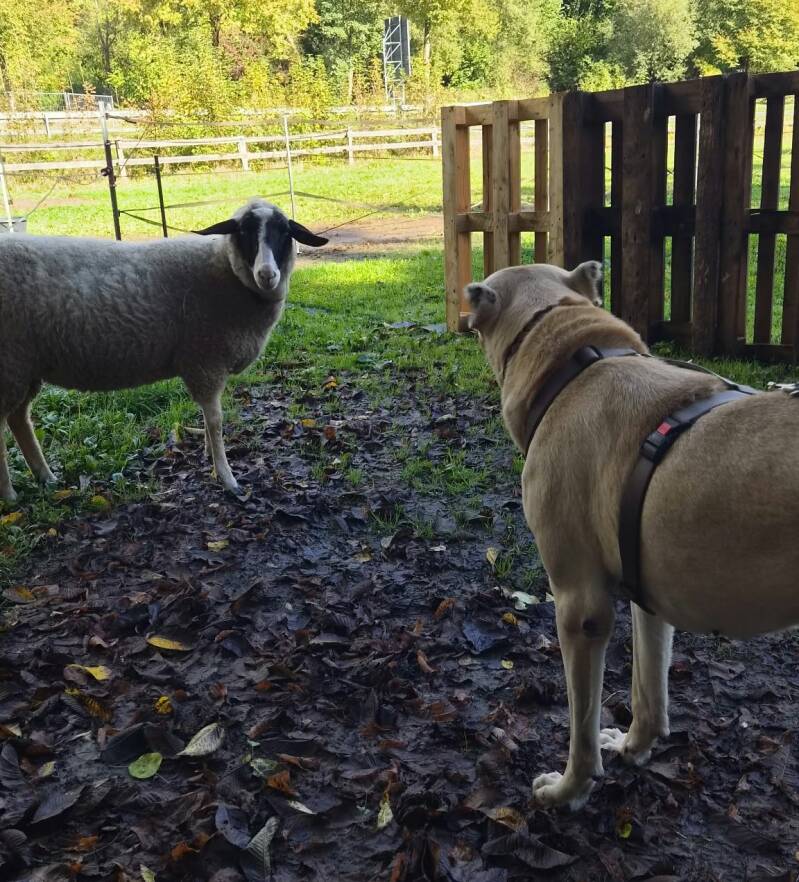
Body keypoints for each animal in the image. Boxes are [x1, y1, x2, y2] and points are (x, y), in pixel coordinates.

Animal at [0, 199, 328, 502]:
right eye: (244, 231)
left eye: (284, 232)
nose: (267, 274)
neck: (223, 270)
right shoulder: (204, 360)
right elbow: (215, 421)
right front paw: (226, 477)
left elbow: (209, 419)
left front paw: (209, 454)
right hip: (10, 365)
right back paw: (9, 495)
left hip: (24, 369)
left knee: (19, 420)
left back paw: (46, 478)